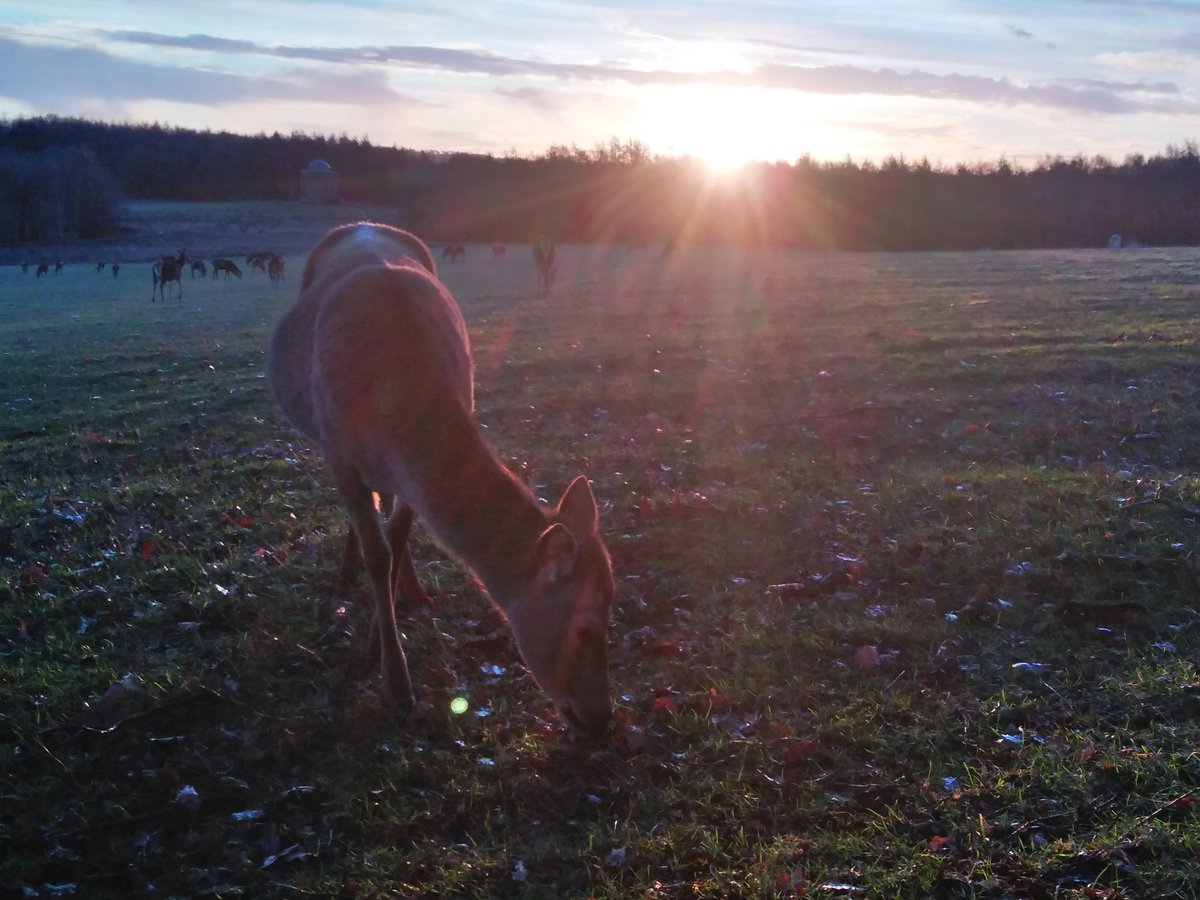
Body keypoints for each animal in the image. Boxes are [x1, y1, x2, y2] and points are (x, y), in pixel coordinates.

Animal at [267, 222, 614, 734]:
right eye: (586, 628)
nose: (602, 718)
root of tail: (363, 224)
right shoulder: (339, 452)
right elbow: (378, 553)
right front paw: (394, 681)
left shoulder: (408, 476)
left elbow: (399, 537)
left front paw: (382, 634)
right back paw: (347, 574)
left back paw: (413, 593)